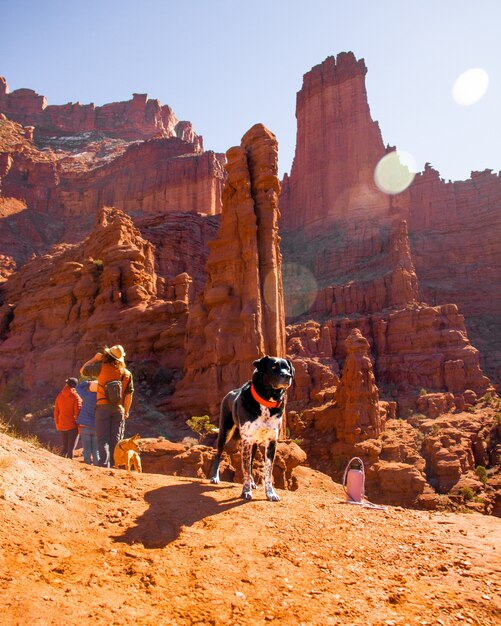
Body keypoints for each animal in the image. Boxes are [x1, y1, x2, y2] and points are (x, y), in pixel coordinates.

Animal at [210, 354, 294, 500]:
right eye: (273, 367)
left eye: (287, 368)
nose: (288, 375)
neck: (266, 401)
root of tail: (230, 392)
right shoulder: (247, 441)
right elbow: (245, 468)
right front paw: (246, 491)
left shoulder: (272, 441)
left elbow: (268, 469)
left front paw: (270, 493)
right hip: (225, 432)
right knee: (219, 454)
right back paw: (215, 477)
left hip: (254, 444)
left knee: (250, 464)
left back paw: (253, 483)